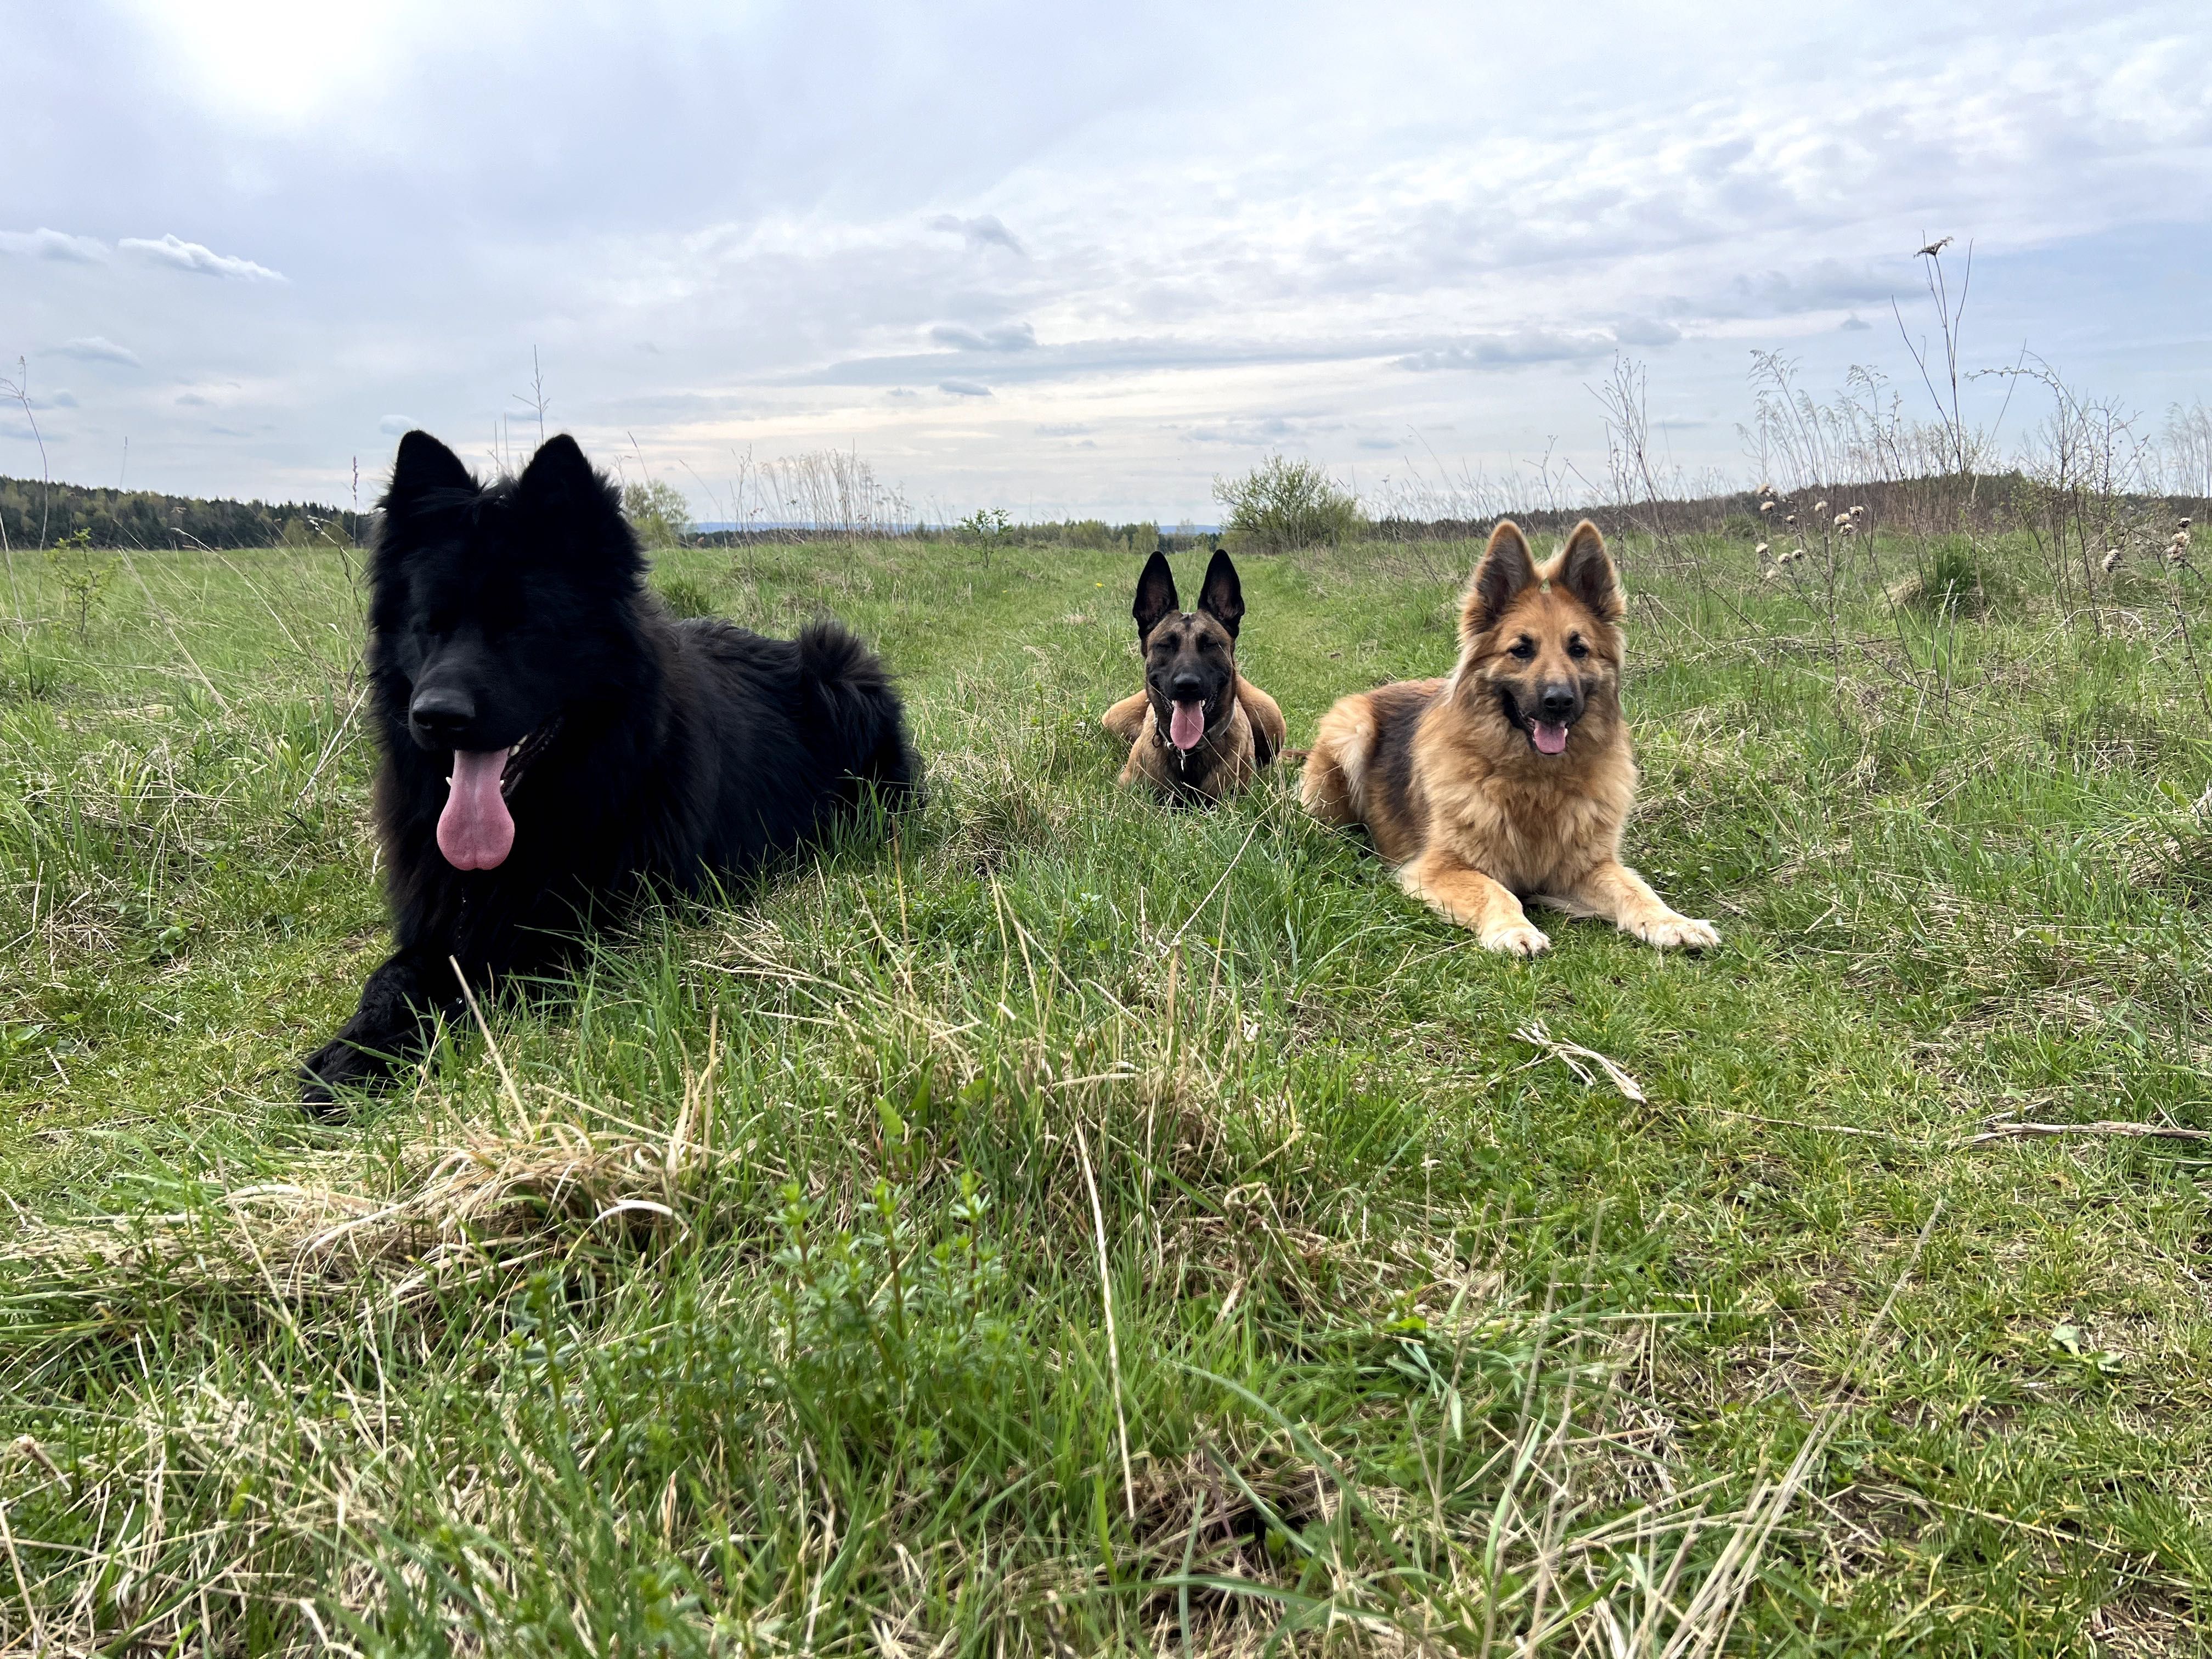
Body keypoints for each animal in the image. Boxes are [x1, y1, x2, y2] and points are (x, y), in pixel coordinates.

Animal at [298, 431, 920, 1106]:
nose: (435, 716)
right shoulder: (438, 917)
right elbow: (395, 975)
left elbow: (486, 975)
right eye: (427, 626)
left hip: (841, 674)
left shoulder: (602, 934)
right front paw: (359, 1045)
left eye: (523, 626)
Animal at [1101, 546, 1291, 805]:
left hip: (1266, 711)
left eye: (1210, 644)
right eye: (1165, 645)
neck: (1186, 754)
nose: (1187, 685)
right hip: (1112, 719)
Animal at [1300, 520, 1716, 960]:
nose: (1559, 702)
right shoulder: (1440, 867)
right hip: (1353, 729)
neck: (1535, 780)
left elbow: (1638, 890)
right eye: (1521, 649)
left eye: (1578, 649)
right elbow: (1496, 891)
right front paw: (1513, 929)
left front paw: (1675, 922)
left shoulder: (1586, 867)